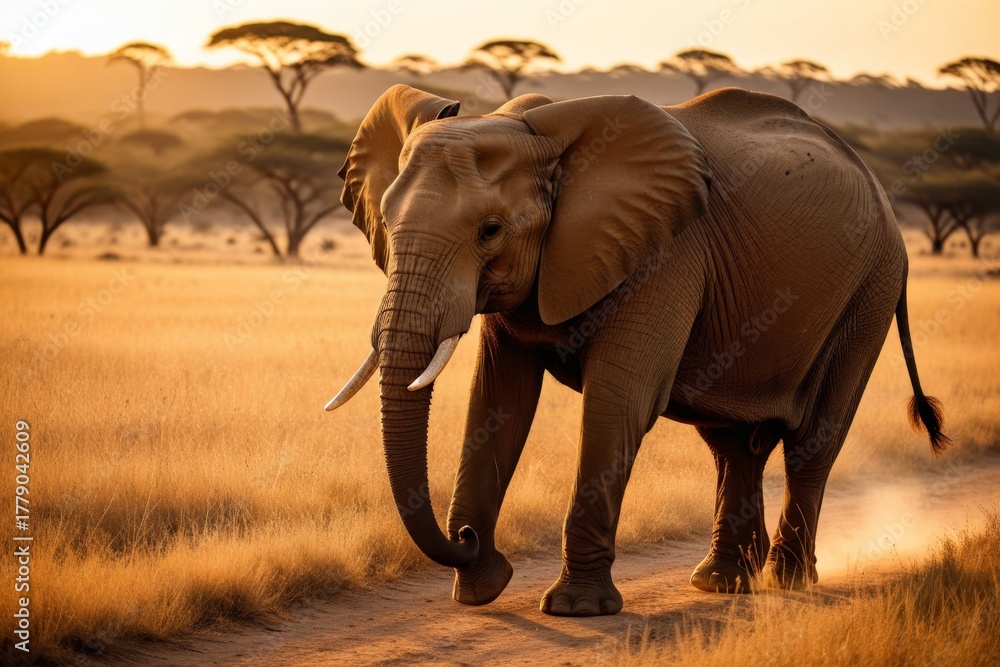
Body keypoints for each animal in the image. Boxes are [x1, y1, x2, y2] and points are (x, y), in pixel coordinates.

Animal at [325, 84, 948, 616]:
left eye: (491, 230)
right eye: (384, 221)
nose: (467, 537)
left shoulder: (666, 252)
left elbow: (618, 399)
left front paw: (576, 609)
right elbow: (499, 402)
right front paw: (480, 592)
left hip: (870, 291)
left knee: (812, 442)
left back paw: (789, 581)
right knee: (733, 445)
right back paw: (722, 583)